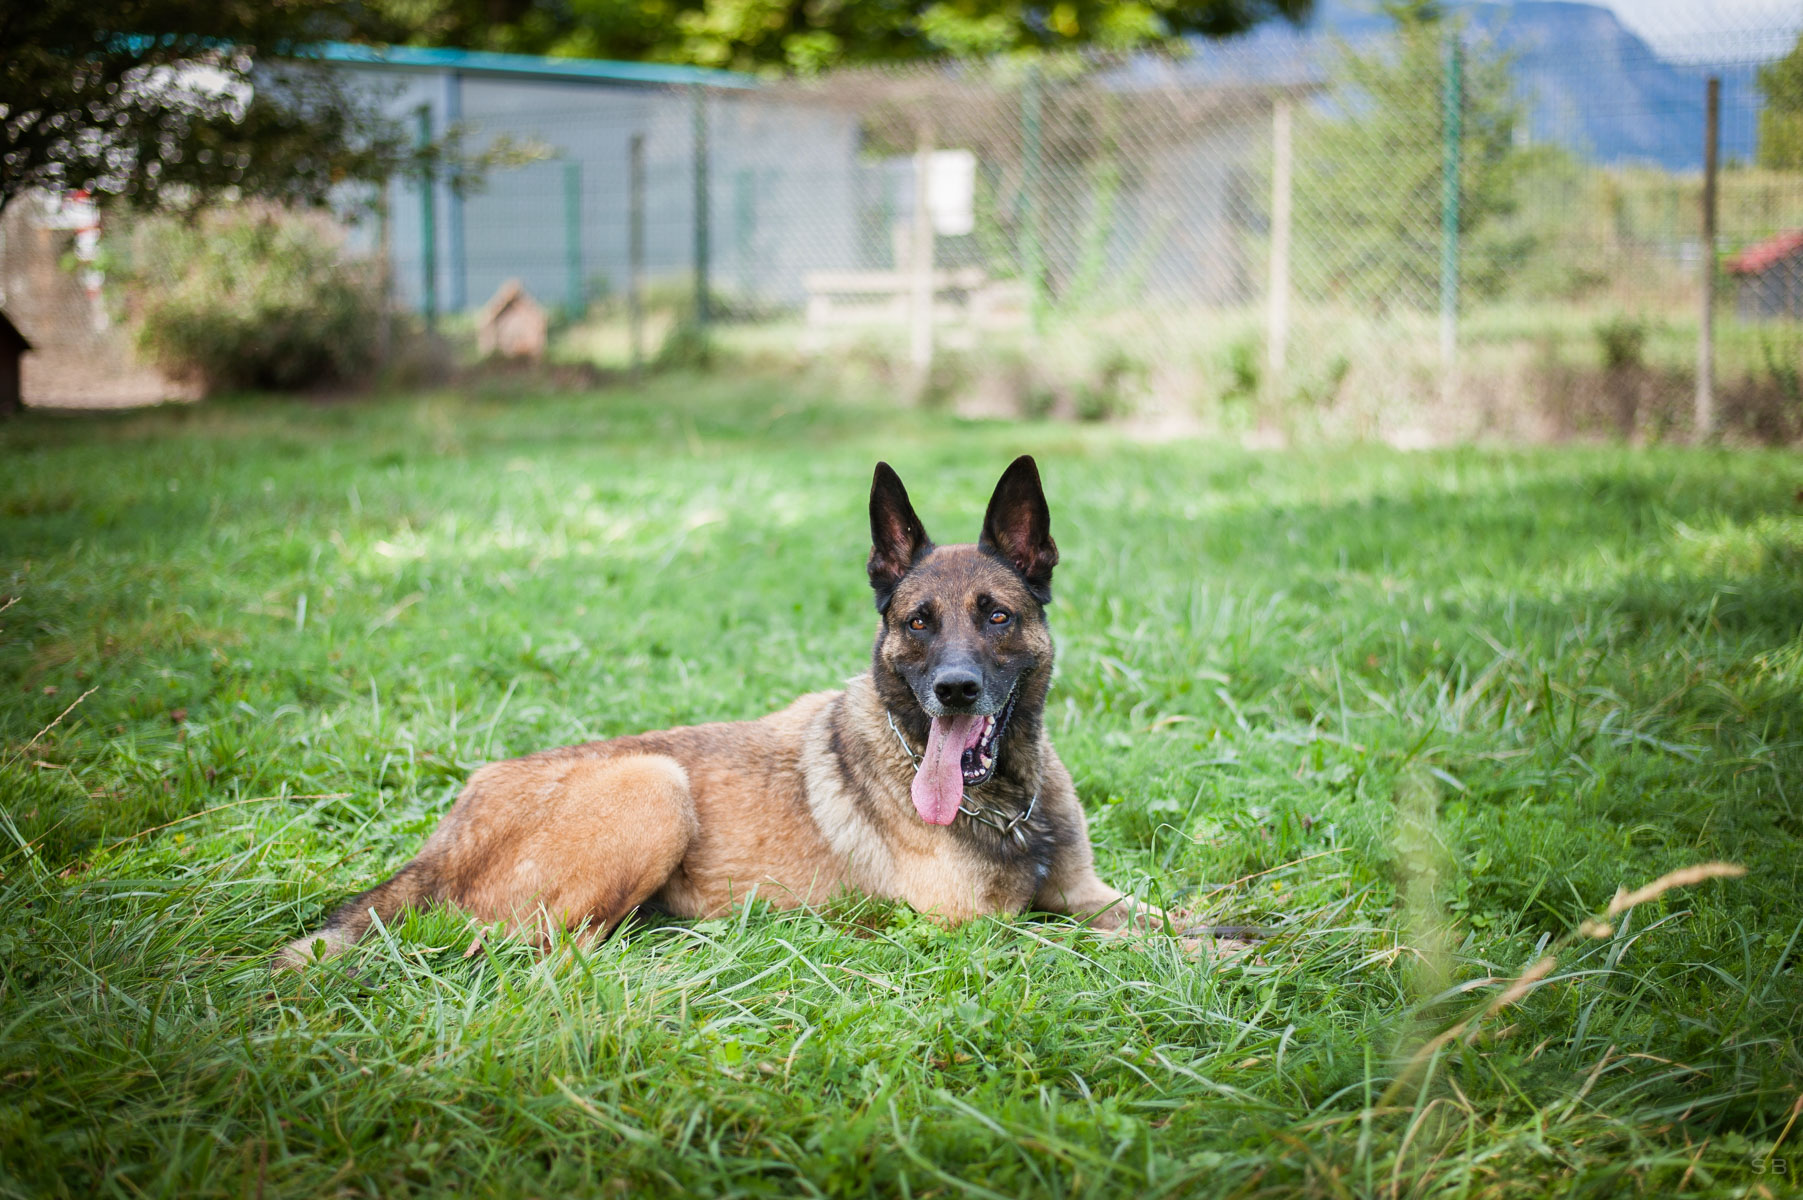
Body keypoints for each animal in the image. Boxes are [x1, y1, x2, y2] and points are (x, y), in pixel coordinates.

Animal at [281, 454, 1240, 965]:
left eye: (996, 616)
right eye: (917, 623)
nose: (954, 691)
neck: (1002, 806)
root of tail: (447, 830)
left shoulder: (1088, 892)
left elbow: (1164, 914)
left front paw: (1239, 934)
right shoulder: (974, 930)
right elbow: (1093, 942)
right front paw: (1212, 957)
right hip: (653, 785)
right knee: (536, 955)